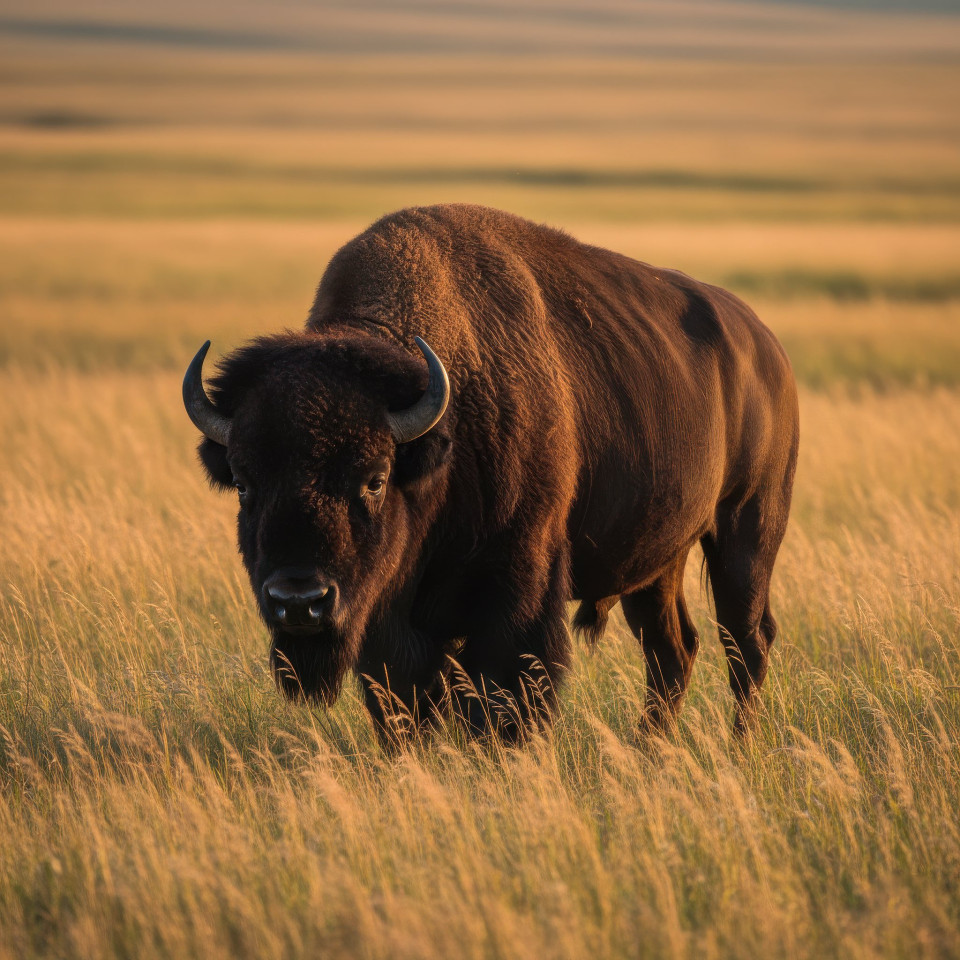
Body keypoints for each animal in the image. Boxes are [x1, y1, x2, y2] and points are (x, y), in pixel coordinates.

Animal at [183, 204, 799, 742]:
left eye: (375, 479)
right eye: (243, 483)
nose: (299, 600)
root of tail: (767, 349)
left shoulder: (515, 589)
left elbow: (504, 697)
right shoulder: (392, 621)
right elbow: (409, 702)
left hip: (748, 532)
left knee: (746, 641)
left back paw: (740, 747)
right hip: (656, 563)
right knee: (674, 649)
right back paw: (651, 749)